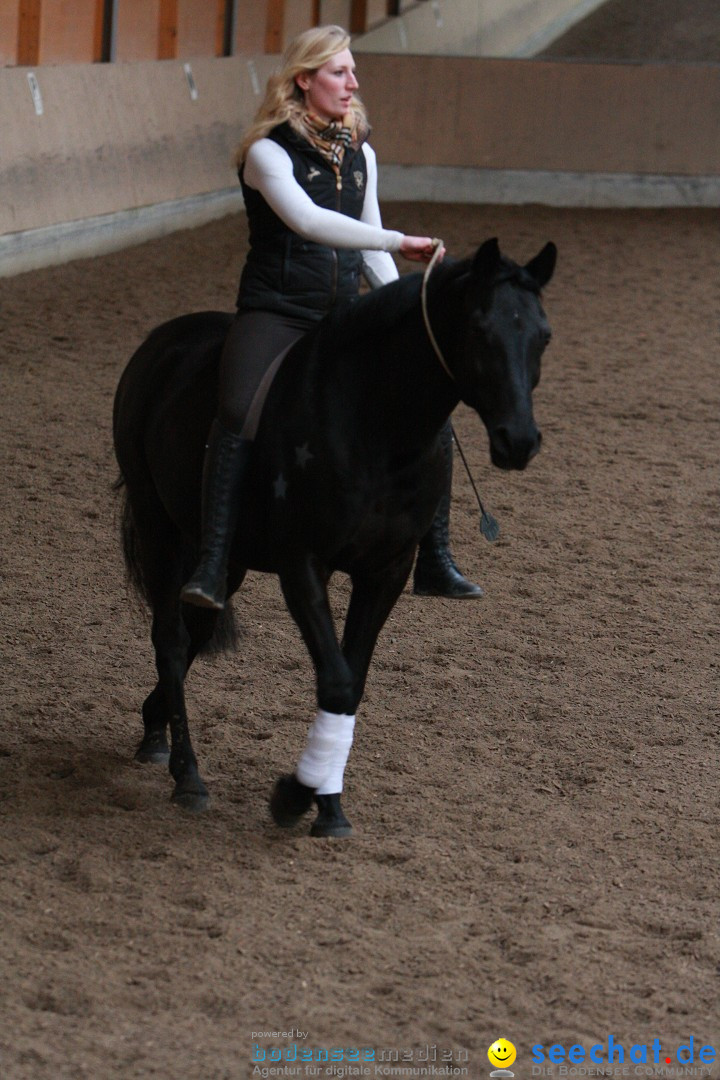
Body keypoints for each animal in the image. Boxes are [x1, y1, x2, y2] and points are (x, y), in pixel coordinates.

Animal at [112, 240, 557, 838]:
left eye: (543, 335)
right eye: (481, 327)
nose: (519, 442)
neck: (374, 422)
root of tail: (160, 341)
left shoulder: (386, 570)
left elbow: (353, 682)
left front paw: (329, 804)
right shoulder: (303, 564)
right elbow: (337, 682)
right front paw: (296, 796)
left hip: (224, 556)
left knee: (195, 631)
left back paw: (155, 727)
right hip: (158, 524)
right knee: (172, 640)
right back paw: (187, 775)